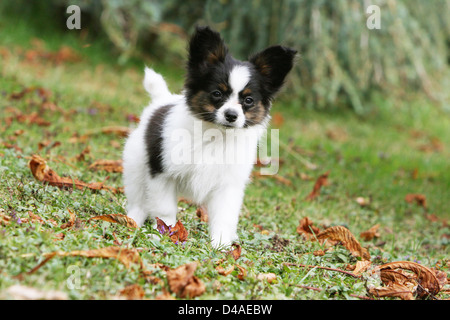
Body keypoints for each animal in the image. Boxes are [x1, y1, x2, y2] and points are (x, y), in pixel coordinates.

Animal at [123, 26, 298, 249]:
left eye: (248, 100)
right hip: (136, 164)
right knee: (138, 198)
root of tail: (160, 101)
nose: (231, 115)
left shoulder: (228, 185)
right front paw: (167, 234)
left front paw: (220, 245)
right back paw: (133, 220)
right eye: (217, 94)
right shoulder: (162, 173)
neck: (216, 136)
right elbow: (165, 210)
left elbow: (224, 217)